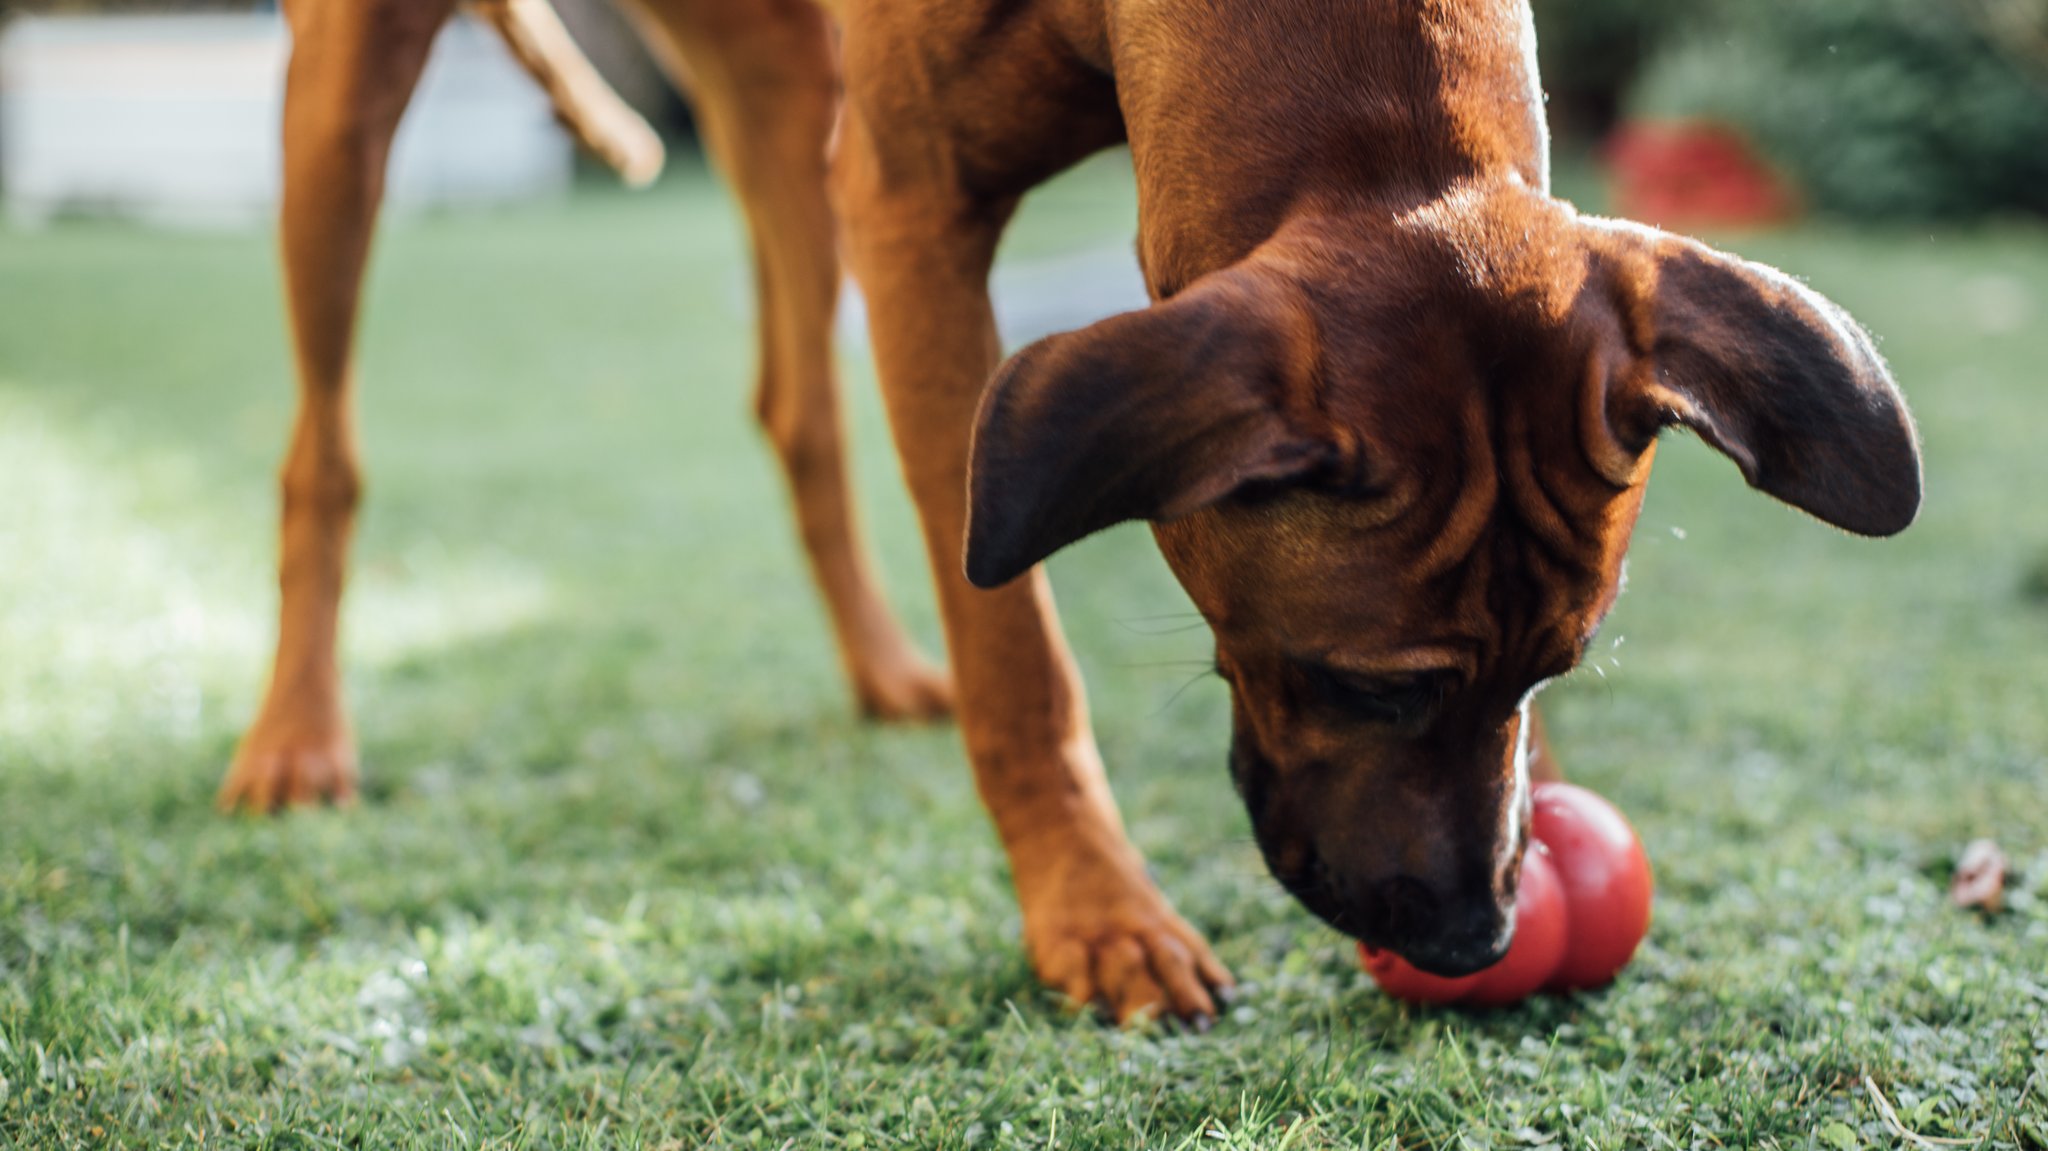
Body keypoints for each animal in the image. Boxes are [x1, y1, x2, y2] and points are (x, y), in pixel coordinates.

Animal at [224, 0, 1916, 1019]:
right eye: (1365, 682)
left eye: (1553, 667)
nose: (1474, 938)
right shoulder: (909, 201)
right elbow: (1016, 649)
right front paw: (1096, 910)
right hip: (349, 98)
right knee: (323, 451)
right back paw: (297, 738)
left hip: (779, 91)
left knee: (795, 410)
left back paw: (876, 667)